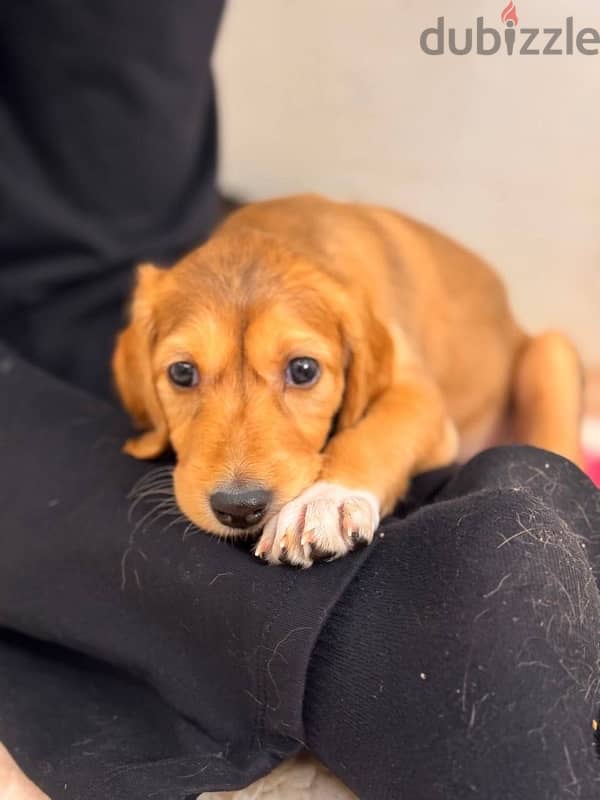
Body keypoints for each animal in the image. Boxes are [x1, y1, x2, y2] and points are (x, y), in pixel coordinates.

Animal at [112, 196, 580, 564]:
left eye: (303, 370)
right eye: (182, 372)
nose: (240, 508)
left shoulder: (419, 396)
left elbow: (377, 433)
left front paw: (325, 499)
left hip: (550, 353)